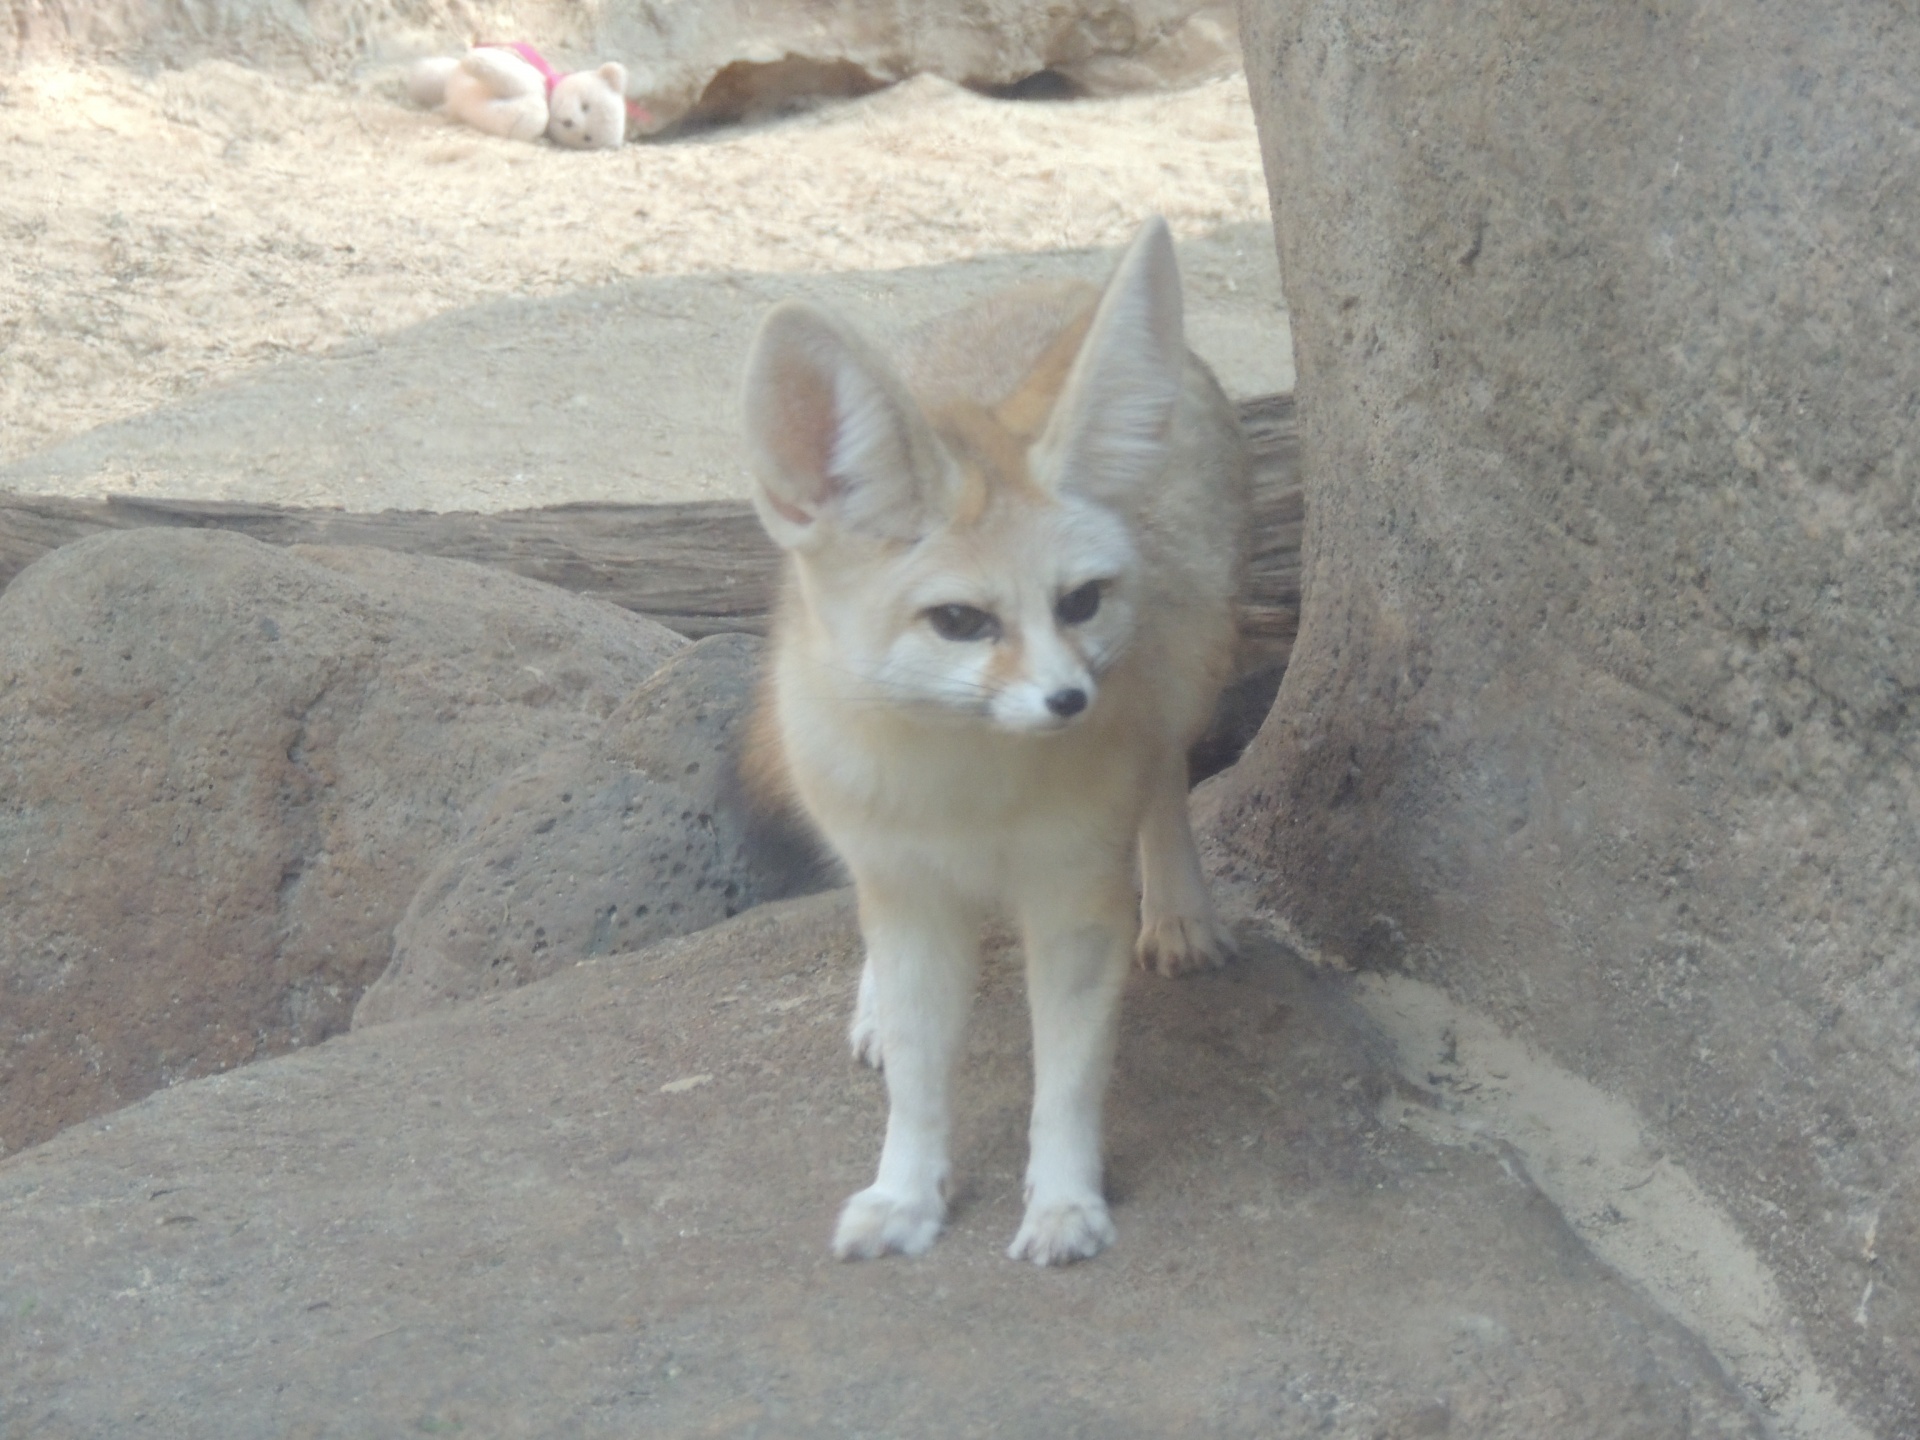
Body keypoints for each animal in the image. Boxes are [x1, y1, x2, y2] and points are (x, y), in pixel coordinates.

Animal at [741, 219, 1251, 1267]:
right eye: (960, 622)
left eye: (1081, 602)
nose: (1069, 699)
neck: (964, 794)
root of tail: (1049, 282)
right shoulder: (906, 888)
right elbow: (918, 1078)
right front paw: (905, 1194)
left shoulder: (1075, 899)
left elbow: (1067, 1081)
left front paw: (1063, 1203)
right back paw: (871, 1007)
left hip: (1191, 677)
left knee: (1168, 783)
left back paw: (1181, 909)